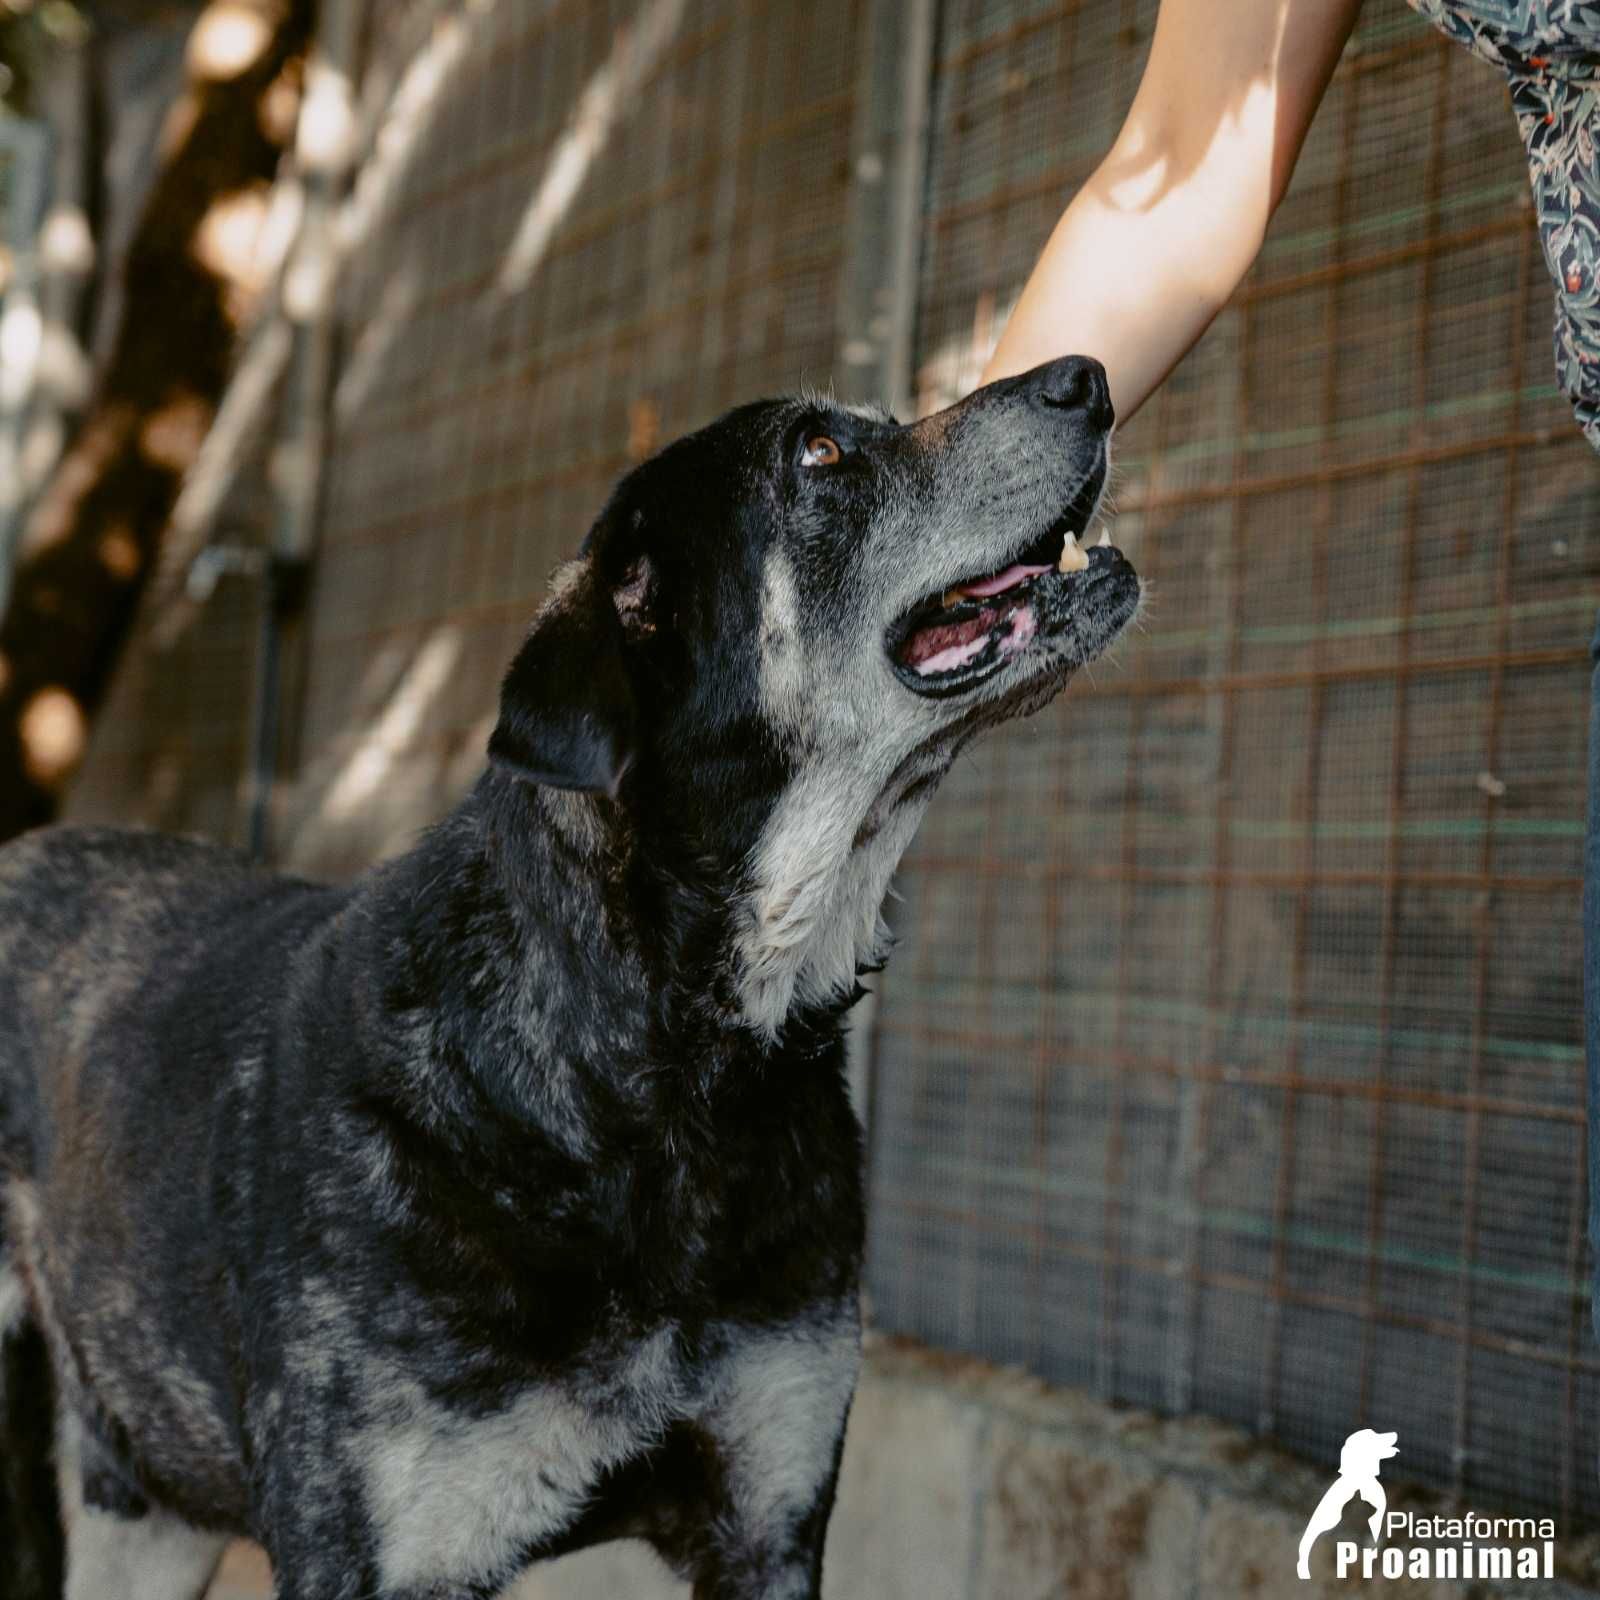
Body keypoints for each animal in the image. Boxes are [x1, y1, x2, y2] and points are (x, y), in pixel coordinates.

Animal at [3, 353, 1139, 1600]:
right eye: (819, 455)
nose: (1086, 375)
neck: (663, 1069)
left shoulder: (770, 1518)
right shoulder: (376, 1556)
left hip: (145, 1508)